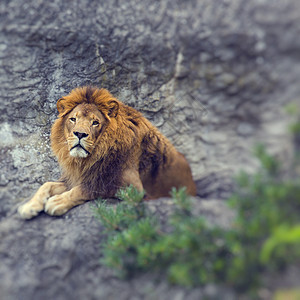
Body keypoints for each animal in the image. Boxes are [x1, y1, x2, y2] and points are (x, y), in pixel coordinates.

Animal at [18, 85, 197, 219]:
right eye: (73, 119)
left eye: (95, 122)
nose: (80, 134)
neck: (89, 159)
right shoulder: (76, 176)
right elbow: (46, 184)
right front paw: (29, 206)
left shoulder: (133, 189)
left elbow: (89, 188)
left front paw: (57, 202)